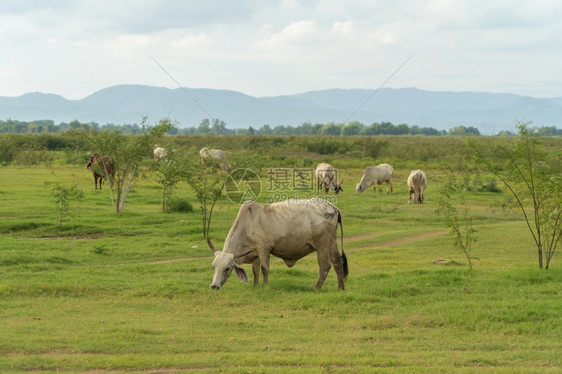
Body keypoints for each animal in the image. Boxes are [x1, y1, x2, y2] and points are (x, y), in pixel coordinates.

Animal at [207, 197, 346, 290]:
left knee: (325, 266)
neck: (246, 224)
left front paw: (265, 286)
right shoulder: (255, 252)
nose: (214, 286)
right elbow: (255, 270)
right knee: (338, 262)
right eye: (213, 267)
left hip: (322, 244)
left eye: (227, 268)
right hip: (332, 242)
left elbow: (264, 268)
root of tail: (333, 207)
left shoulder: (263, 248)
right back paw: (340, 288)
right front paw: (255, 285)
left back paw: (316, 287)